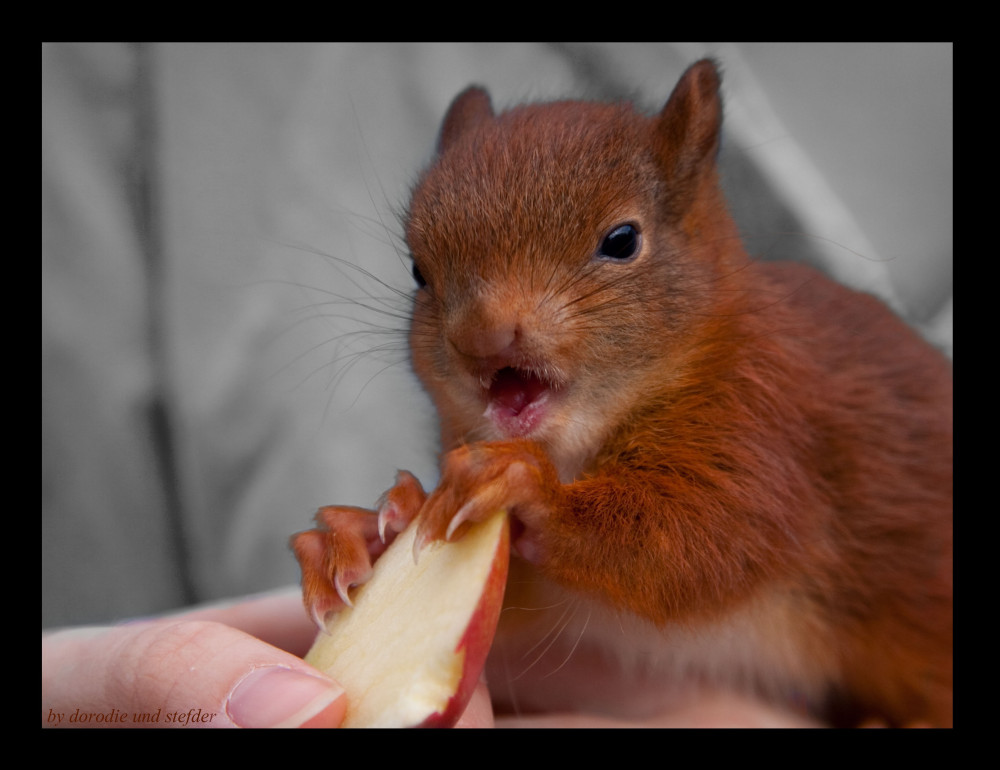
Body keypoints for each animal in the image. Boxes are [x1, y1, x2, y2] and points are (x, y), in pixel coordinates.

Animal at [292, 60, 952, 728]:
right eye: (418, 272)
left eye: (622, 240)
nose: (481, 337)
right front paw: (364, 528)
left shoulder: (768, 435)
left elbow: (698, 544)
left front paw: (530, 489)